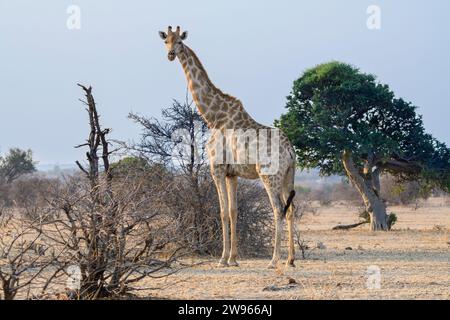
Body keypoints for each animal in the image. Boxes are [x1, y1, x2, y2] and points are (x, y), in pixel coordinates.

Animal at [160, 26, 298, 268]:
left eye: (179, 42)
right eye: (165, 40)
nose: (170, 54)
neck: (213, 117)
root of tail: (290, 151)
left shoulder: (216, 168)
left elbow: (223, 211)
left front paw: (222, 259)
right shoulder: (232, 173)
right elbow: (234, 211)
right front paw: (233, 258)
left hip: (269, 176)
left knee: (278, 210)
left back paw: (273, 260)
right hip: (288, 176)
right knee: (290, 210)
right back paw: (290, 260)